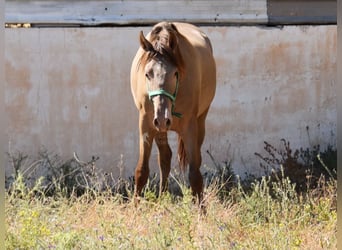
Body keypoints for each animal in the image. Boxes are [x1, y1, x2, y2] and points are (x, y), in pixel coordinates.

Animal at [130, 21, 215, 203]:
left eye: (175, 73)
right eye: (147, 74)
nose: (163, 119)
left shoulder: (190, 127)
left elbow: (195, 174)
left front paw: (201, 209)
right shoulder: (146, 124)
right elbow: (141, 171)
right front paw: (135, 207)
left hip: (200, 122)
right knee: (165, 157)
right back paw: (163, 197)